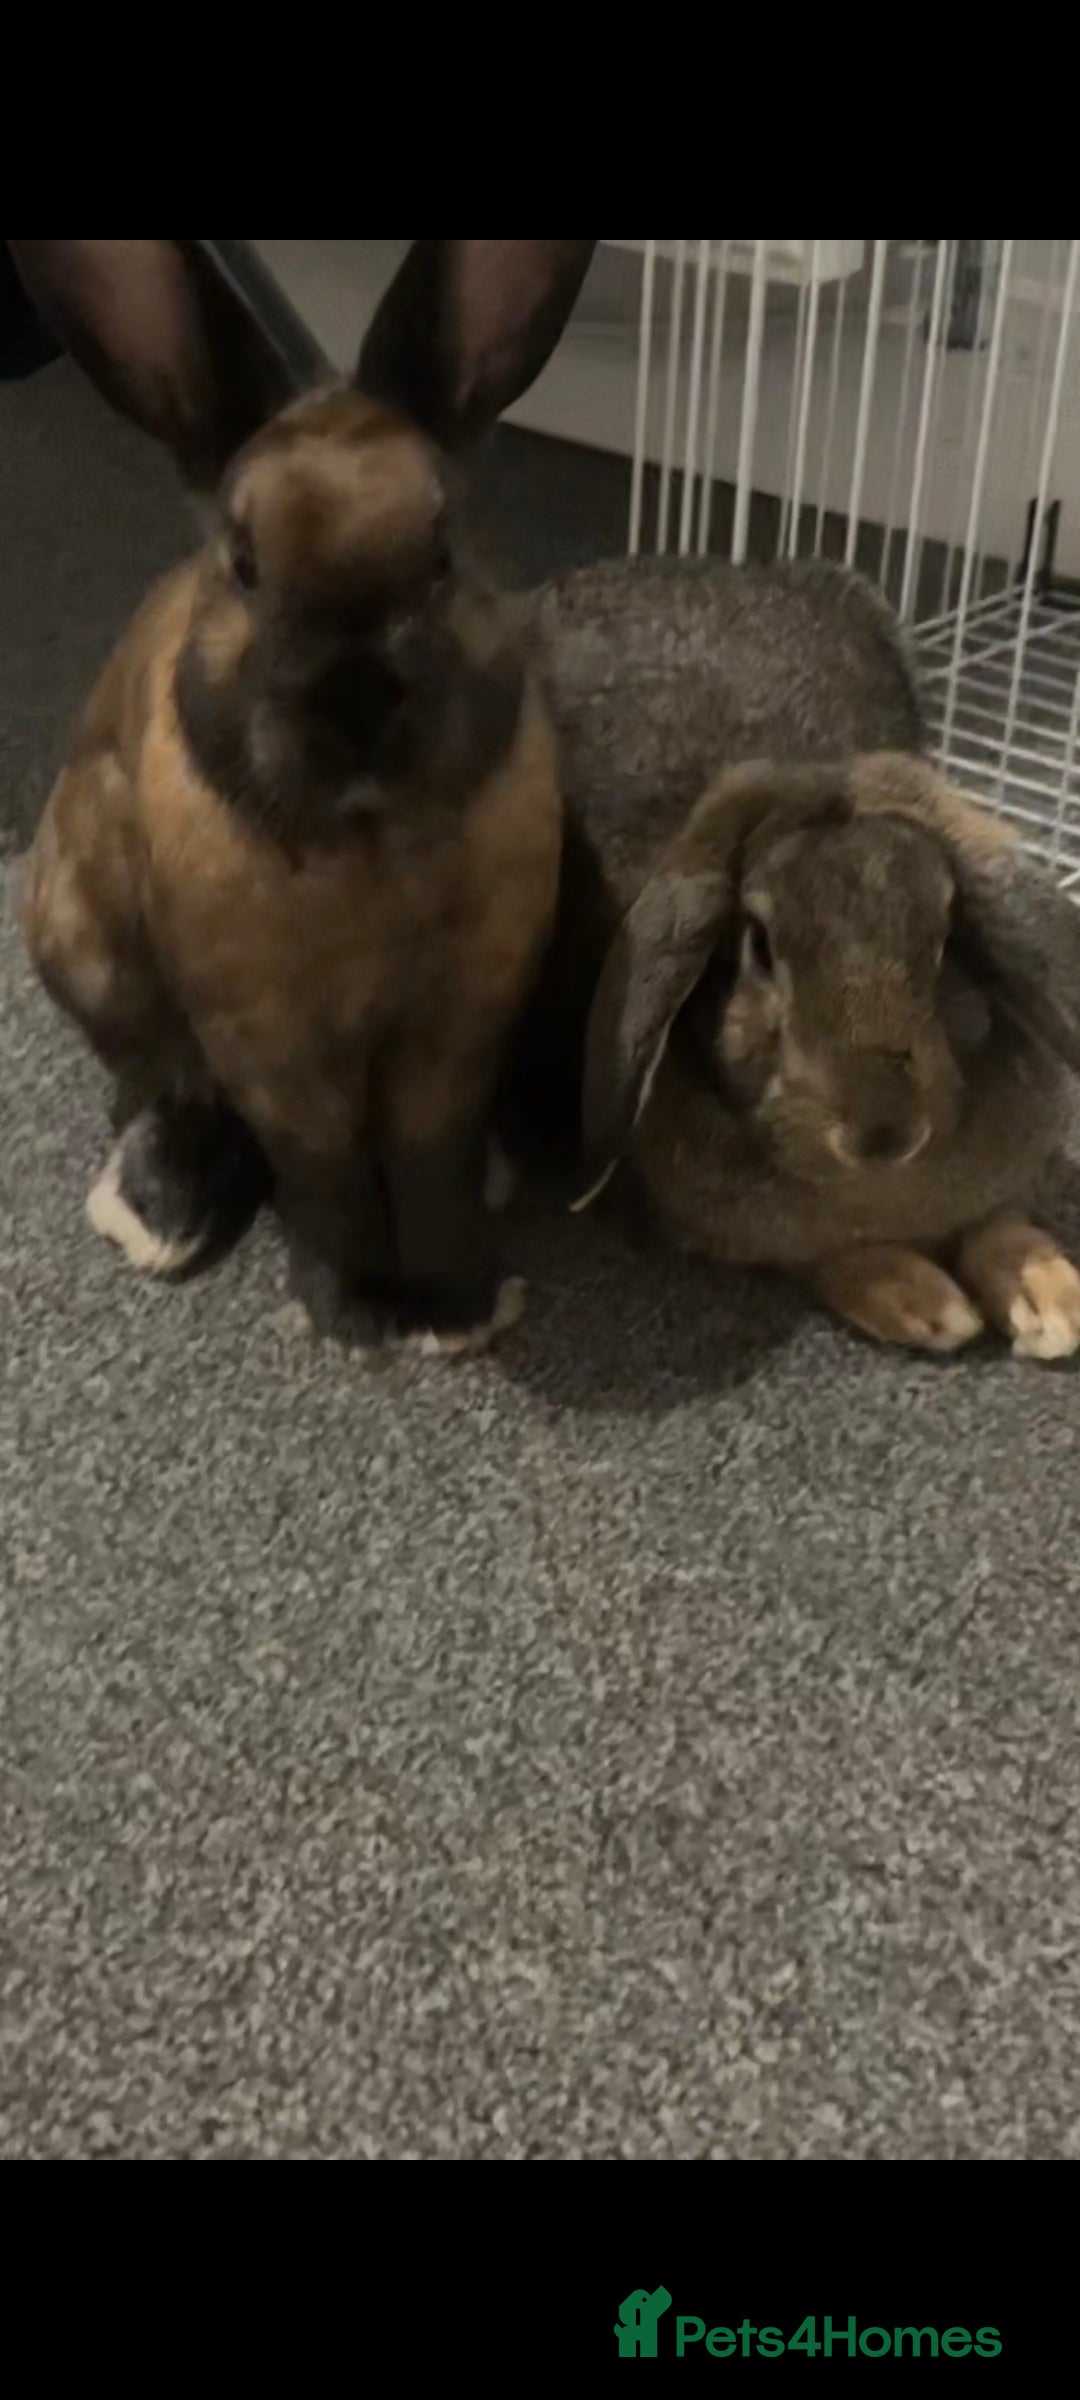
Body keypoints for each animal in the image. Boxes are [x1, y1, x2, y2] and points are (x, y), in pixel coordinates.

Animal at [21, 293, 577, 1347]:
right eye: (243, 565)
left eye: (442, 551)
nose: (355, 698)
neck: (364, 846)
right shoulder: (269, 1045)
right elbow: (327, 1178)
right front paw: (354, 1313)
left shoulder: (460, 1026)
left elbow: (429, 1165)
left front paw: (455, 1306)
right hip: (87, 947)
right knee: (166, 1091)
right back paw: (162, 1211)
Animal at [577, 750, 1080, 1360]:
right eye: (758, 943)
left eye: (944, 939)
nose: (885, 1135)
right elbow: (827, 1259)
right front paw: (922, 1303)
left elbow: (1000, 1222)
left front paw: (1050, 1296)